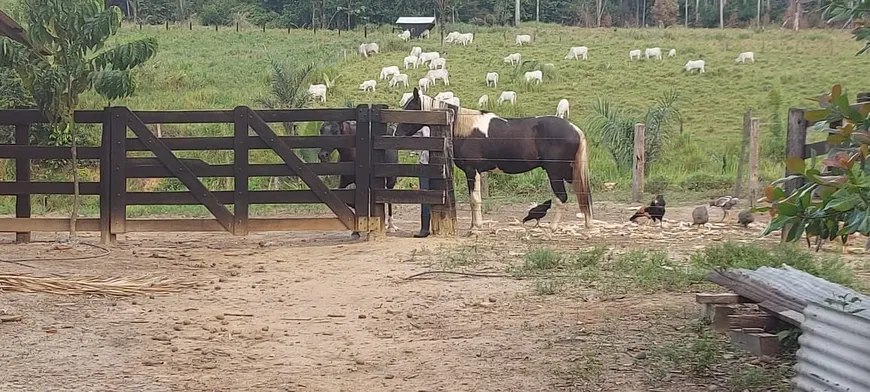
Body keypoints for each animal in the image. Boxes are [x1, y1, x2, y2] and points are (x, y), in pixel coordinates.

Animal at [398, 88, 596, 230]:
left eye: (411, 109)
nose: (396, 132)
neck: (464, 128)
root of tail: (575, 129)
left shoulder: (472, 171)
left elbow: (474, 199)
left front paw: (476, 228)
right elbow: (473, 199)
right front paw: (473, 225)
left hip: (555, 172)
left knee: (562, 198)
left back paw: (554, 227)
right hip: (568, 172)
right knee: (581, 194)